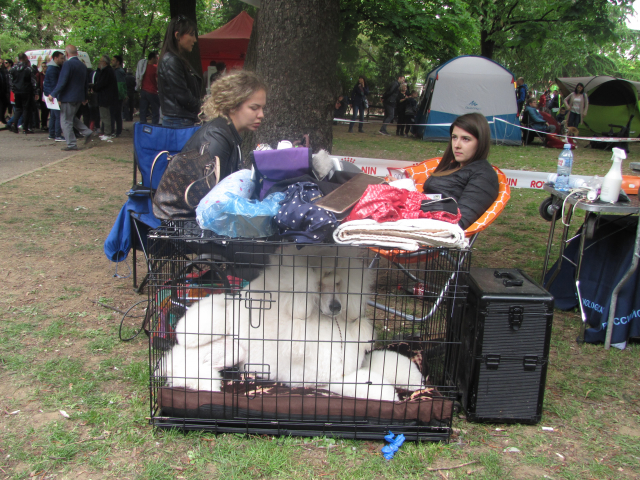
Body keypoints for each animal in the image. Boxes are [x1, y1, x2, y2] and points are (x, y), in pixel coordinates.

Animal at [161, 244, 424, 402]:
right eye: (318, 285)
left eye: (339, 283)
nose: (336, 307)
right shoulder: (327, 378)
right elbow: (368, 384)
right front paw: (390, 396)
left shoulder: (357, 361)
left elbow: (387, 362)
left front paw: (413, 380)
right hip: (219, 341)